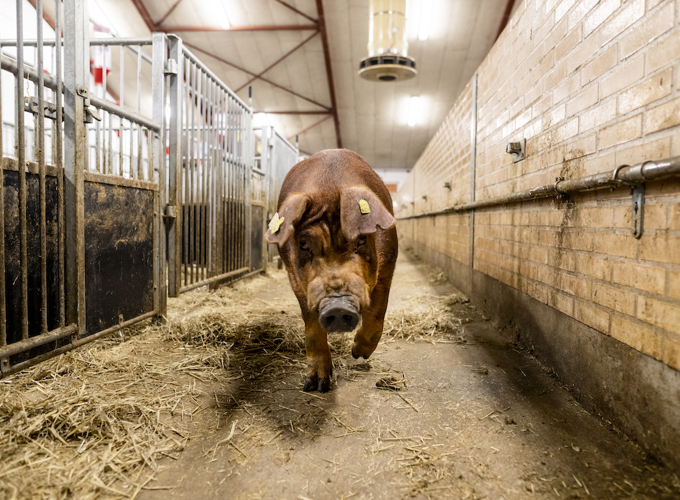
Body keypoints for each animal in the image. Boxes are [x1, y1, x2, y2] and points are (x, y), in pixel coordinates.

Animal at [266, 150, 398, 392]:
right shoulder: (295, 276)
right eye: (304, 244)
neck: (328, 187)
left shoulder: (389, 262)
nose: (337, 305)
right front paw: (316, 386)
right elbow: (311, 323)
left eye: (361, 239)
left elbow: (378, 311)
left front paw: (358, 354)